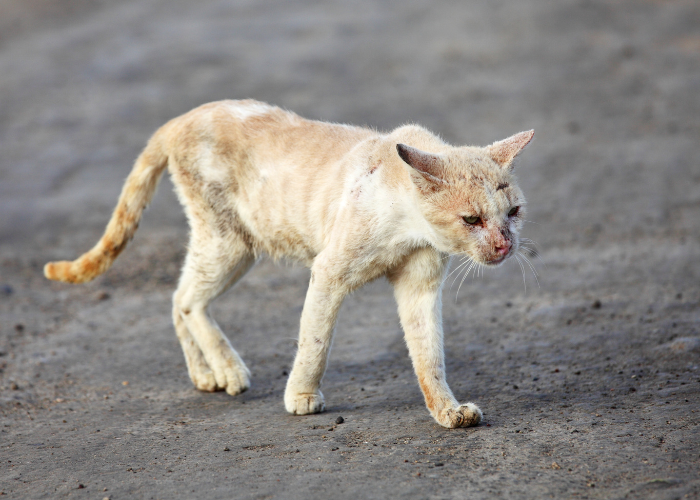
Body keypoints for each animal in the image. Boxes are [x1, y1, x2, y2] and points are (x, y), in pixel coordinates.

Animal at [43, 99, 532, 428]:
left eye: (513, 213)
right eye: (472, 219)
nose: (504, 245)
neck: (409, 226)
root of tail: (182, 117)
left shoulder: (419, 286)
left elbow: (429, 354)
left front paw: (448, 412)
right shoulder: (329, 271)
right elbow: (315, 341)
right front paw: (301, 396)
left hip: (228, 248)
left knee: (179, 296)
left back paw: (206, 374)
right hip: (229, 243)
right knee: (186, 299)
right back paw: (229, 371)